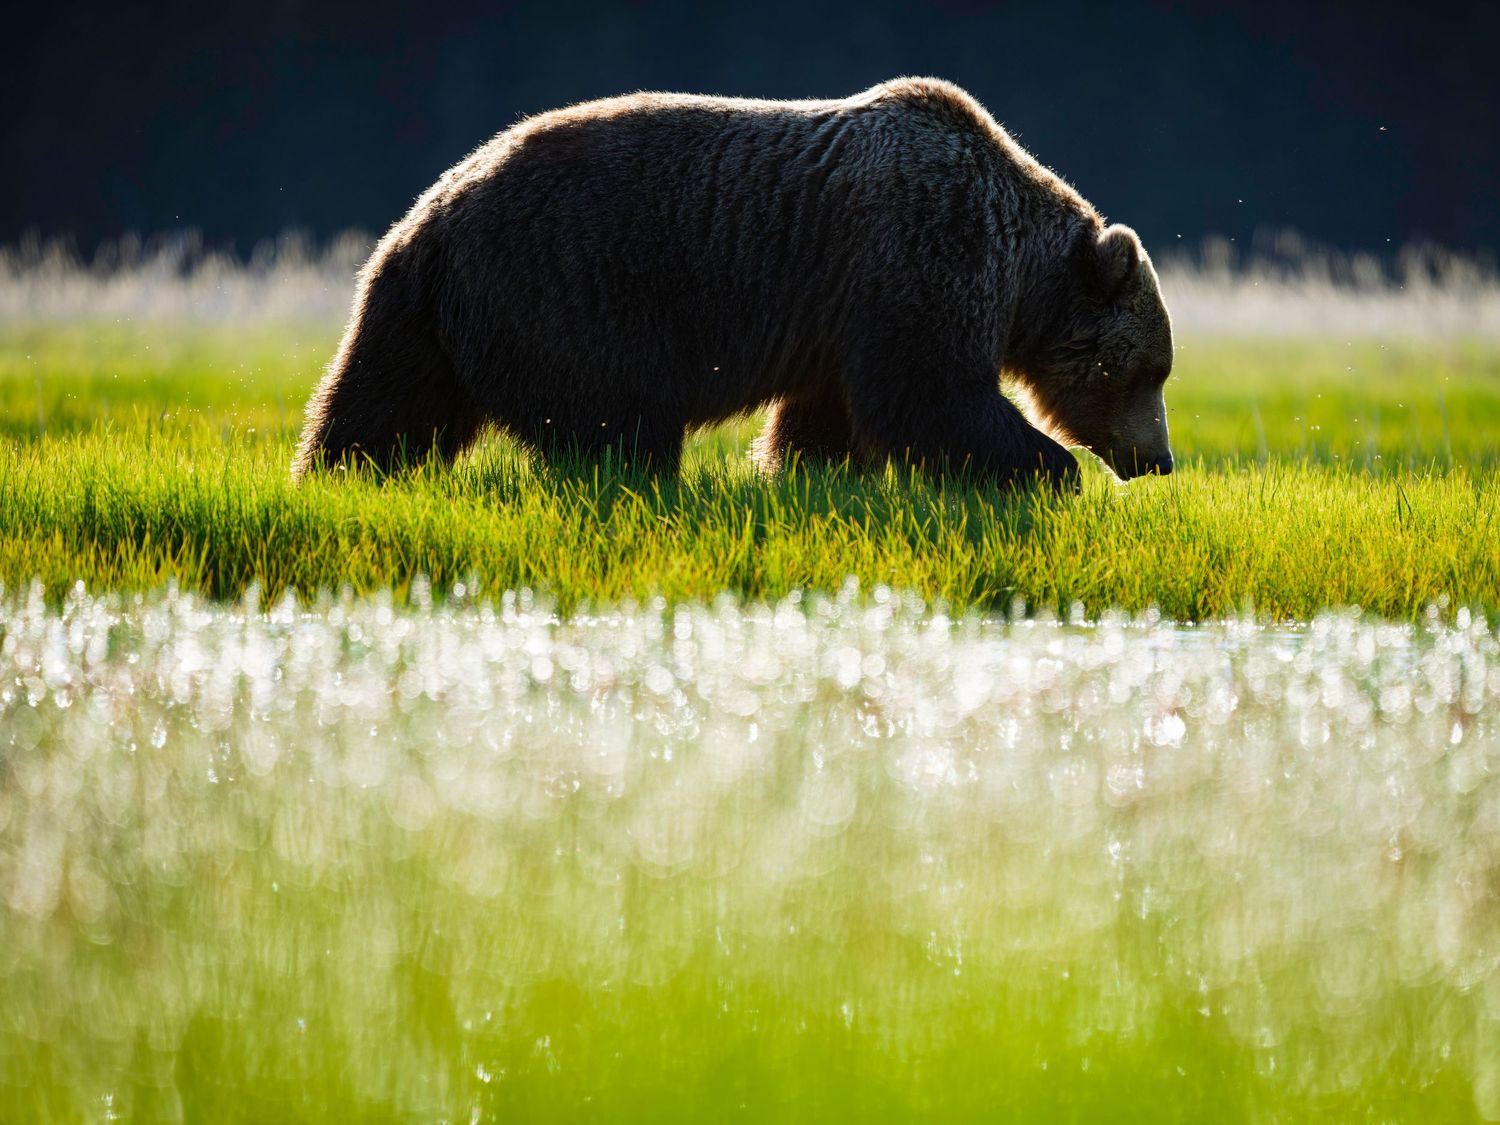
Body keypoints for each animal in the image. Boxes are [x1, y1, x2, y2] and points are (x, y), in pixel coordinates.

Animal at [293, 77, 1175, 487]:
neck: (1020, 272)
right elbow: (931, 392)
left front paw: (808, 473)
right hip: (566, 289)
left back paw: (333, 475)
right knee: (616, 421)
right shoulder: (921, 255)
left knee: (382, 406)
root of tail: (432, 214)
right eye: (1146, 370)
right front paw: (1049, 471)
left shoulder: (842, 314)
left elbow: (829, 418)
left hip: (419, 315)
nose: (1161, 460)